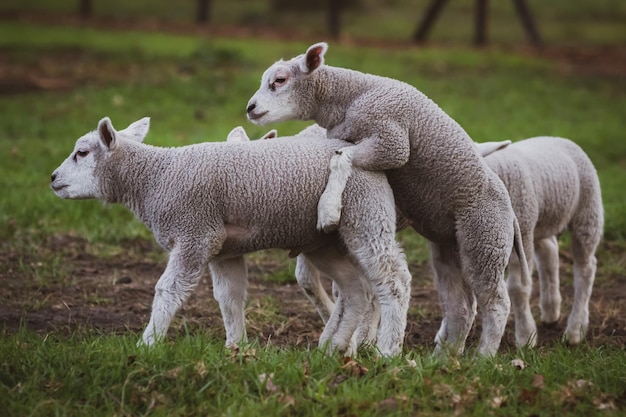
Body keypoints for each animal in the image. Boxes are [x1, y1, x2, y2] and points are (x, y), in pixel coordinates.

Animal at [244, 42, 528, 354]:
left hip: (486, 240)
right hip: (452, 247)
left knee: (497, 304)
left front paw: (329, 208)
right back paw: (442, 357)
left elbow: (341, 157)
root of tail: (510, 214)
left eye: (280, 80)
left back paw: (483, 357)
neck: (350, 97)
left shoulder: (392, 142)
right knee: (463, 305)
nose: (250, 108)